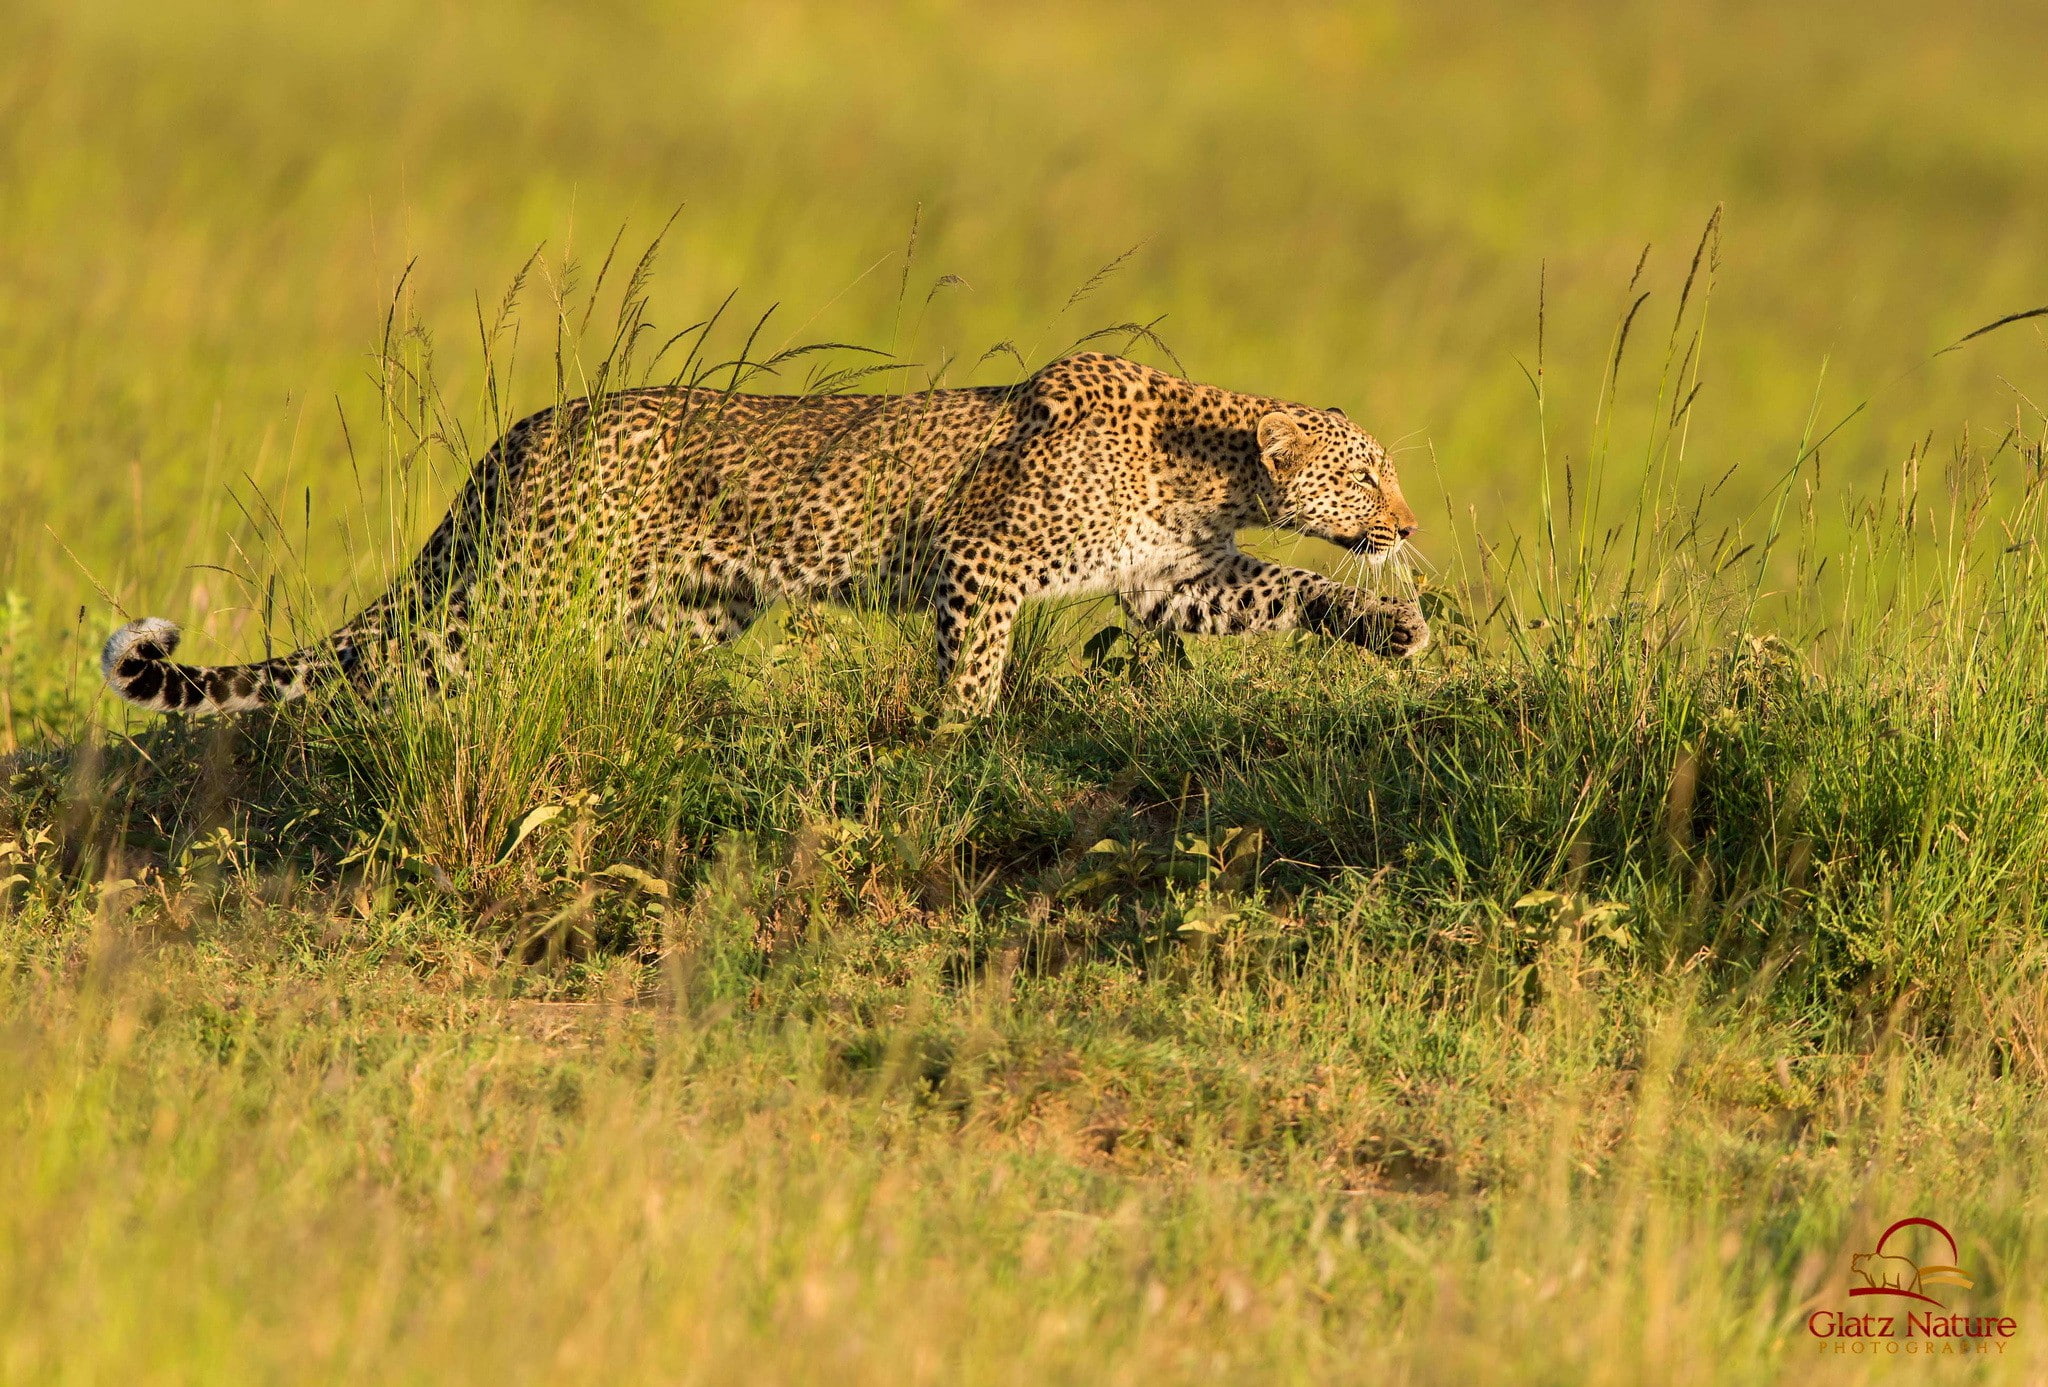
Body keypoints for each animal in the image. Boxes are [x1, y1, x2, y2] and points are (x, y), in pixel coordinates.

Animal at [101, 351, 1428, 717]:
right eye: (1367, 474)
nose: (1407, 520)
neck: (1206, 472)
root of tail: (527, 430)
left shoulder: (1168, 582)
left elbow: (1285, 594)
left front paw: (1388, 626)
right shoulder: (982, 560)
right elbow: (973, 666)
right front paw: (959, 736)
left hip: (679, 611)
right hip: (521, 589)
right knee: (419, 669)